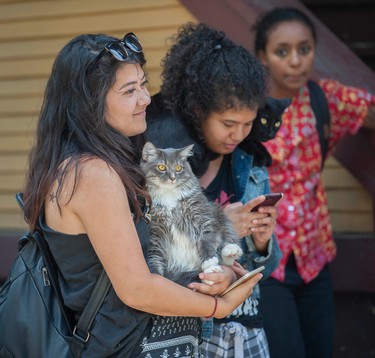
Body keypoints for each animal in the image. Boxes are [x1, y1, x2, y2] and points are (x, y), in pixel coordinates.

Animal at [141, 141, 244, 286]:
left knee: (224, 246)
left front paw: (209, 261)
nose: (172, 178)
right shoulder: (156, 232)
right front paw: (157, 276)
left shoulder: (202, 217)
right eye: (161, 167)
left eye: (178, 168)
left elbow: (206, 241)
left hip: (217, 211)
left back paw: (229, 252)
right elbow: (155, 259)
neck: (169, 197)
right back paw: (210, 276)